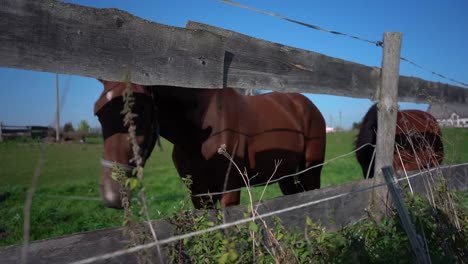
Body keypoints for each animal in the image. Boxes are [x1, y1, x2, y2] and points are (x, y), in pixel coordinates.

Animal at [94, 81, 326, 209]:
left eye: (140, 109)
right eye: (98, 113)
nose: (112, 194)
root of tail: (307, 104)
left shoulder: (229, 189)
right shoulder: (198, 193)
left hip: (311, 170)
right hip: (285, 175)